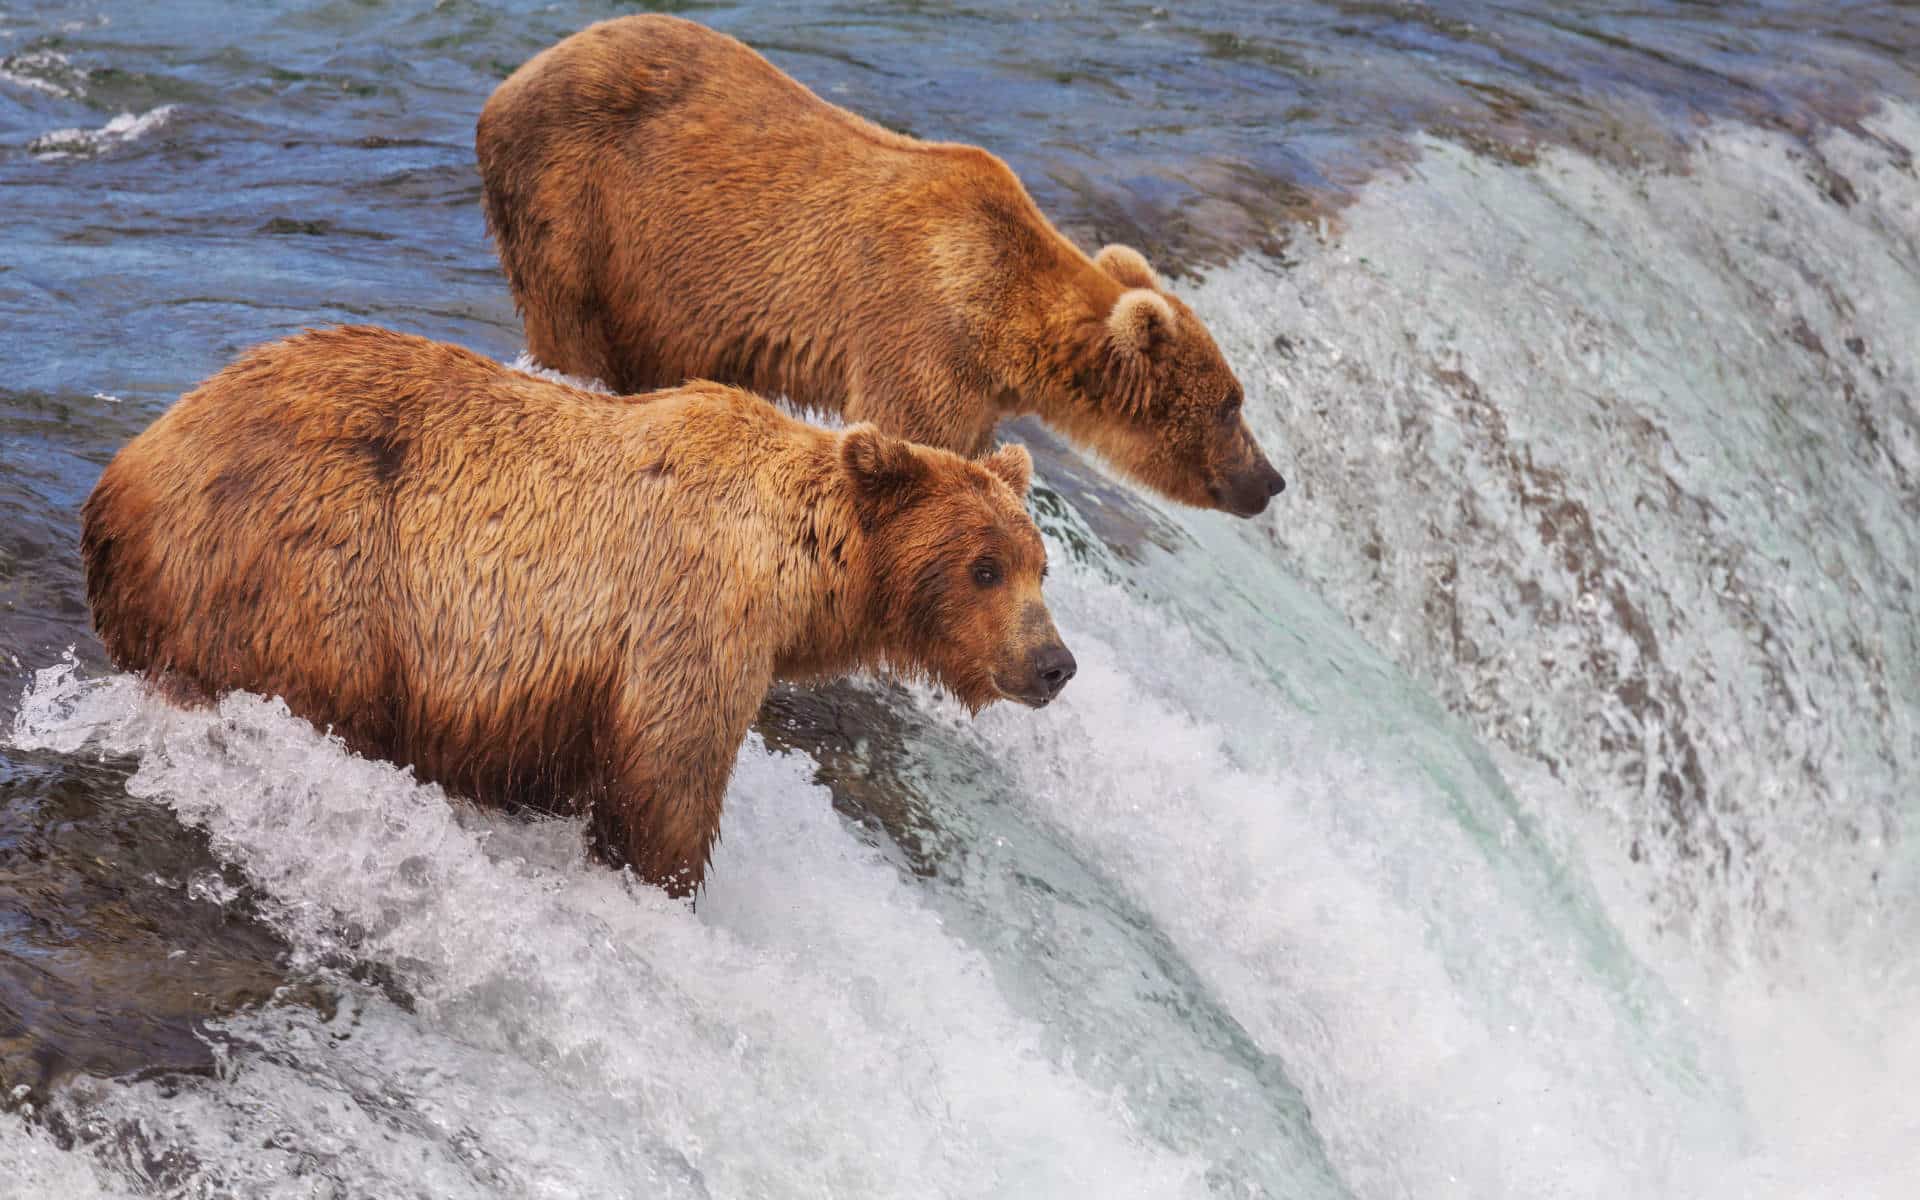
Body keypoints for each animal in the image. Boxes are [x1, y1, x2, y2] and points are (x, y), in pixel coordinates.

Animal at [82, 322, 1075, 894]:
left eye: (1040, 567)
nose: (1055, 664)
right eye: (985, 568)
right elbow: (669, 776)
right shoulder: (691, 614)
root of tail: (126, 474)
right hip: (308, 571)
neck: (794, 571)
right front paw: (661, 881)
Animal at [476, 14, 1290, 518]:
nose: (1271, 480)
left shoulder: (978, 389)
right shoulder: (922, 339)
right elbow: (914, 441)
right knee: (572, 326)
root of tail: (514, 77)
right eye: (1231, 403)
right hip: (576, 205)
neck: (1006, 323)